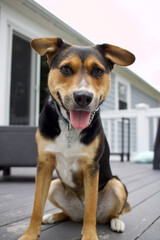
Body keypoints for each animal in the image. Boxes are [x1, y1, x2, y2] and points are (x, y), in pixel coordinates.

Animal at [18, 38, 135, 240]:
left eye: (98, 71)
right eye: (65, 69)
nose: (83, 97)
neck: (70, 128)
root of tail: (77, 212)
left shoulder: (91, 168)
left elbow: (91, 210)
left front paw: (90, 235)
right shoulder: (44, 165)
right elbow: (36, 207)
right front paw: (30, 234)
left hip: (116, 184)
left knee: (107, 213)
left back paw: (116, 222)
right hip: (55, 185)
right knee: (69, 214)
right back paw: (53, 216)